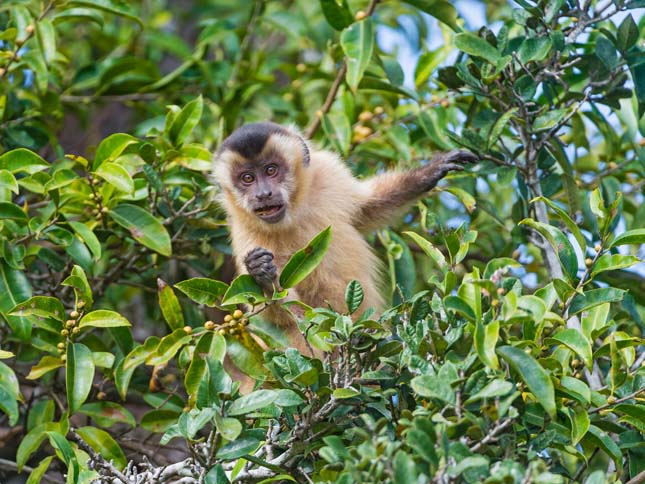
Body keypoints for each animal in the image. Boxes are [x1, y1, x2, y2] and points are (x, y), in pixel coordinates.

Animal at [214, 121, 476, 356]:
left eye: (271, 170)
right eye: (247, 178)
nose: (262, 194)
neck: (294, 213)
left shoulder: (329, 175)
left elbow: (368, 209)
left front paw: (429, 172)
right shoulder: (245, 232)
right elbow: (276, 315)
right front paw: (262, 274)